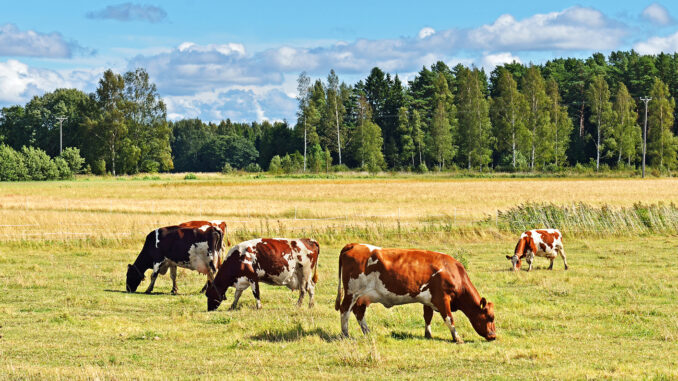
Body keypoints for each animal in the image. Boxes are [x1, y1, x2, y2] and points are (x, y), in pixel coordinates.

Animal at [336, 245, 500, 342]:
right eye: (490, 317)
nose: (493, 336)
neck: (452, 271)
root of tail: (355, 245)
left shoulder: (428, 300)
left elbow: (428, 317)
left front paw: (428, 334)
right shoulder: (442, 299)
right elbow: (449, 319)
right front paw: (457, 337)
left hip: (362, 297)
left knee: (359, 313)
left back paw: (368, 332)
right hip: (352, 293)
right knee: (345, 311)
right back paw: (345, 334)